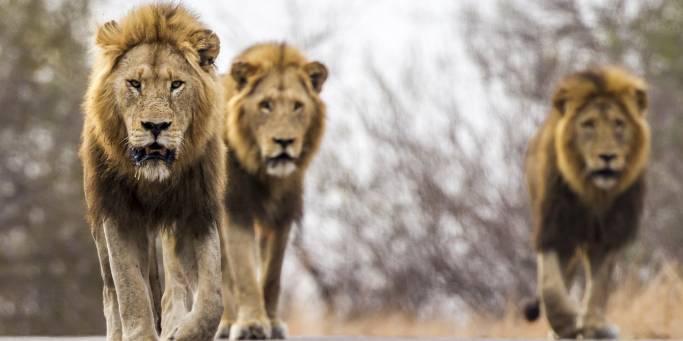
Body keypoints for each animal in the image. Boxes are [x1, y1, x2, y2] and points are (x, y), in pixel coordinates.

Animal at [80, 3, 224, 340]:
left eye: (176, 84)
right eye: (135, 84)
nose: (155, 126)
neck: (154, 180)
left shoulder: (196, 211)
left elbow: (212, 298)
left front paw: (186, 332)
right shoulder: (116, 212)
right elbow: (130, 289)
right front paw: (139, 333)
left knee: (174, 286)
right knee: (111, 291)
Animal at [216, 43, 328, 338]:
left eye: (297, 106)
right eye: (265, 105)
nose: (284, 141)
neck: (264, 173)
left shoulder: (281, 216)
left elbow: (271, 275)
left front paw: (272, 322)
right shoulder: (235, 210)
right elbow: (243, 273)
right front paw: (251, 324)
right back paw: (226, 323)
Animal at [524, 66, 652, 338]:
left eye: (619, 124)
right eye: (588, 125)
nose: (607, 157)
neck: (593, 192)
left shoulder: (610, 231)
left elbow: (600, 285)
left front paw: (595, 326)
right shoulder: (555, 228)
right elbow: (550, 285)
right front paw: (566, 322)